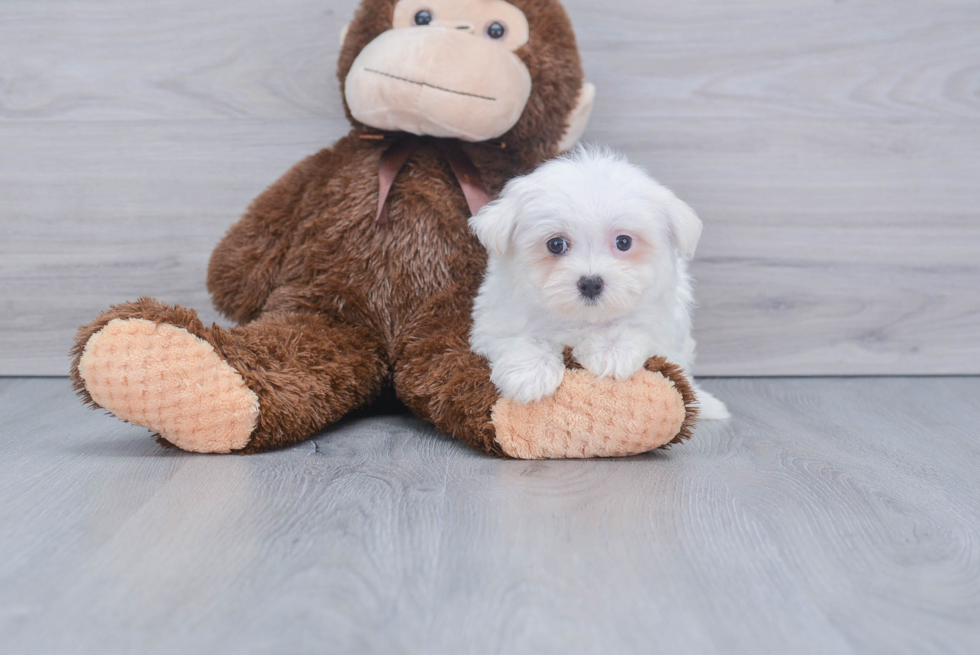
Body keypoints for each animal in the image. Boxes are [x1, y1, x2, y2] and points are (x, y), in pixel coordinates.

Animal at [468, 145, 728, 420]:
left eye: (623, 242)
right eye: (556, 244)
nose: (591, 283)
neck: (584, 319)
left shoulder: (665, 327)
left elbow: (638, 326)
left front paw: (611, 349)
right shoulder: (495, 321)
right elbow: (517, 337)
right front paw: (530, 372)